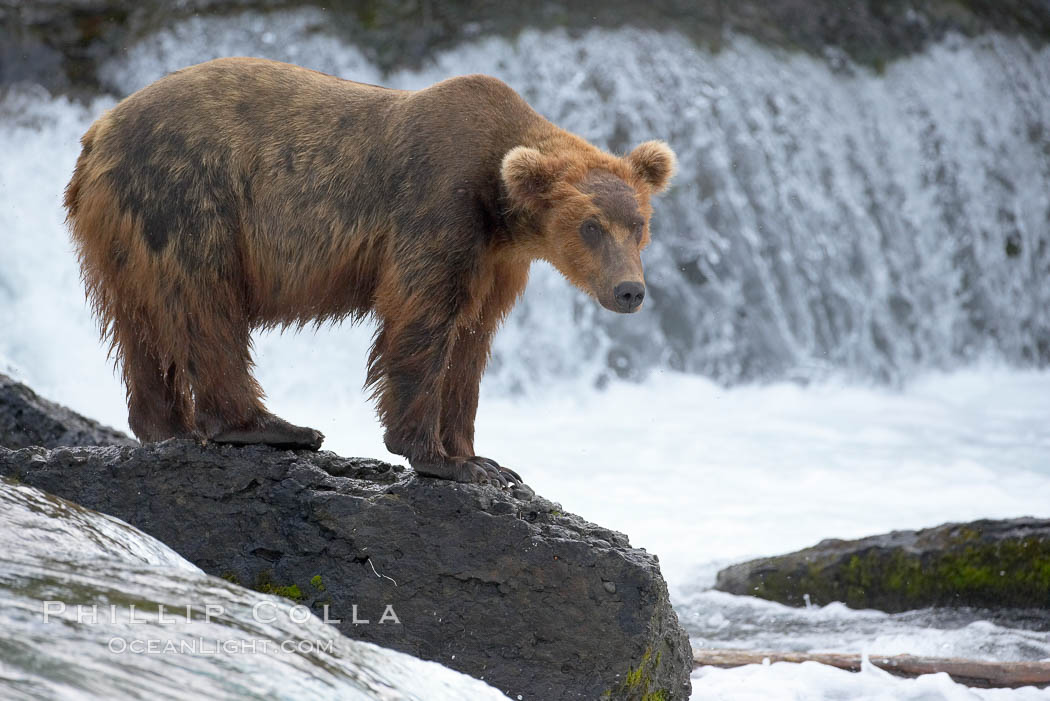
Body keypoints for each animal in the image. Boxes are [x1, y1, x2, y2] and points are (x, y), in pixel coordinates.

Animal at [65, 57, 676, 486]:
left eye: (639, 224)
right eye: (590, 226)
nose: (630, 290)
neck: (500, 207)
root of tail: (97, 133)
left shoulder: (497, 262)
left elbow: (472, 342)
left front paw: (483, 458)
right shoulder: (439, 209)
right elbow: (423, 322)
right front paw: (439, 457)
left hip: (122, 235)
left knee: (139, 324)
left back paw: (166, 426)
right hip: (190, 196)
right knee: (205, 306)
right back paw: (273, 427)